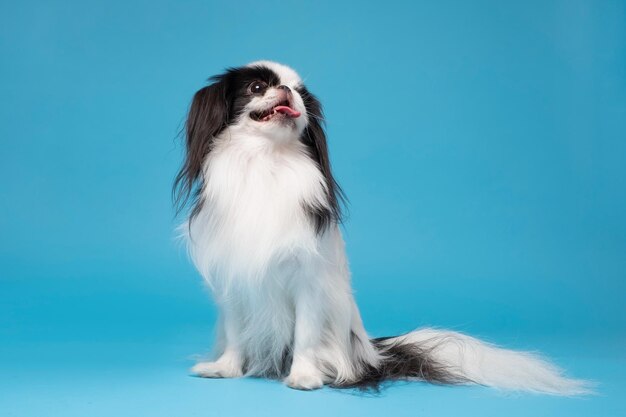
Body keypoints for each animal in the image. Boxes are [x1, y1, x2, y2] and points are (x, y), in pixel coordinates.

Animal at [173, 59, 588, 394]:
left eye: (302, 95)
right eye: (258, 88)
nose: (290, 92)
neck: (266, 161)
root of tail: (370, 352)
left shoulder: (310, 280)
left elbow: (305, 333)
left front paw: (304, 376)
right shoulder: (233, 280)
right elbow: (235, 334)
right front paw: (226, 369)